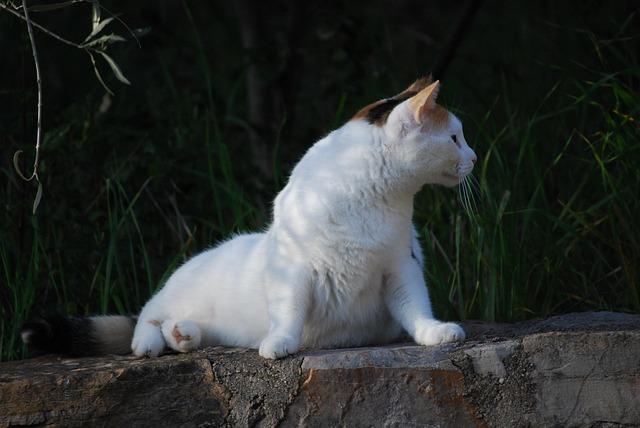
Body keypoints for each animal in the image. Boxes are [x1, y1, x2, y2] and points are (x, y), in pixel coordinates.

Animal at [21, 77, 476, 358]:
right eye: (455, 137)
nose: (473, 156)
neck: (375, 199)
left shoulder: (400, 267)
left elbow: (414, 307)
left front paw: (435, 332)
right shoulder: (293, 270)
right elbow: (289, 312)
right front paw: (280, 343)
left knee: (175, 324)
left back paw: (183, 336)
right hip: (173, 290)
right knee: (146, 316)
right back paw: (152, 342)